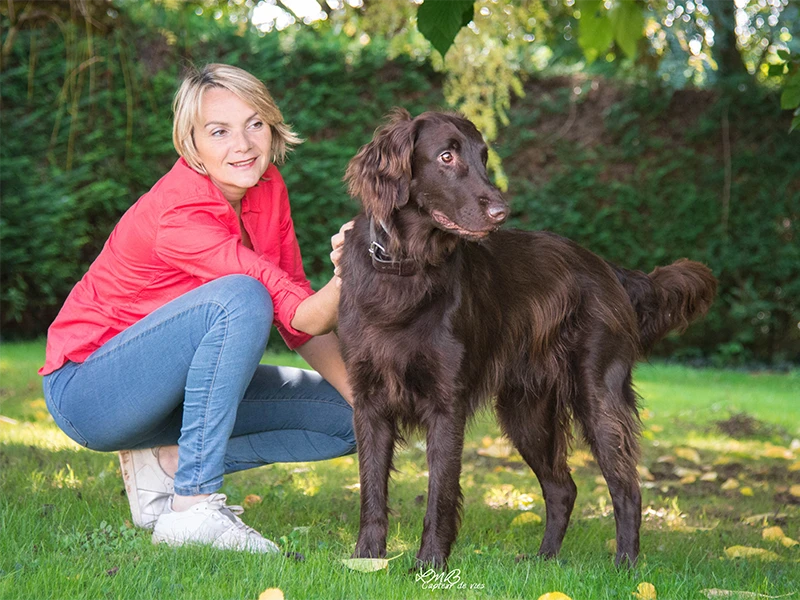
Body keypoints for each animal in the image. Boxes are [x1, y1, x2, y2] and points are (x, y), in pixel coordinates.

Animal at [334, 109, 716, 568]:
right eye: (446, 156)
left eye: (483, 157)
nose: (502, 212)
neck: (406, 268)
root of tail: (608, 268)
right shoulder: (368, 401)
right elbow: (371, 488)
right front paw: (366, 560)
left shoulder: (447, 404)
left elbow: (440, 493)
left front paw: (429, 565)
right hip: (526, 411)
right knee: (563, 487)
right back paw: (544, 560)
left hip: (598, 395)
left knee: (626, 487)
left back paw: (624, 566)